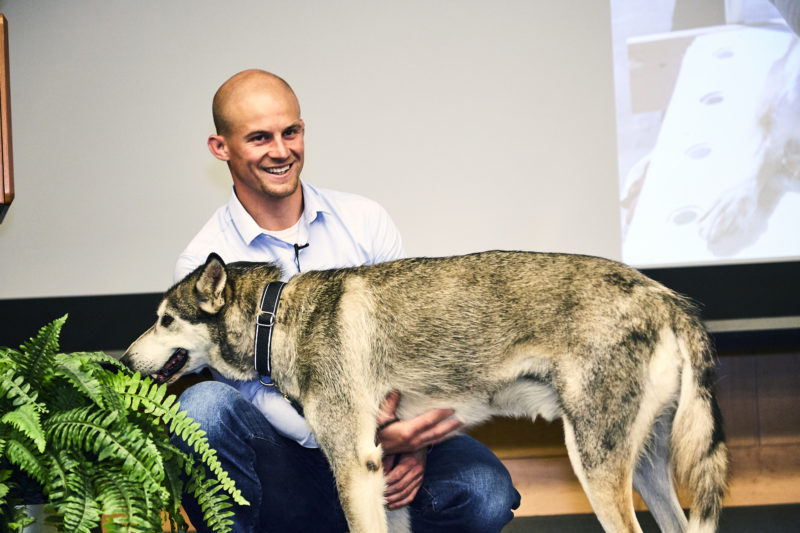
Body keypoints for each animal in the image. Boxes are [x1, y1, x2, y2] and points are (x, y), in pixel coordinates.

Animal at [122, 250, 728, 532]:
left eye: (164, 320)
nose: (122, 360)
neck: (279, 318)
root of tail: (665, 296)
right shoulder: (383, 477)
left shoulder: (355, 468)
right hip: (643, 470)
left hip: (597, 467)